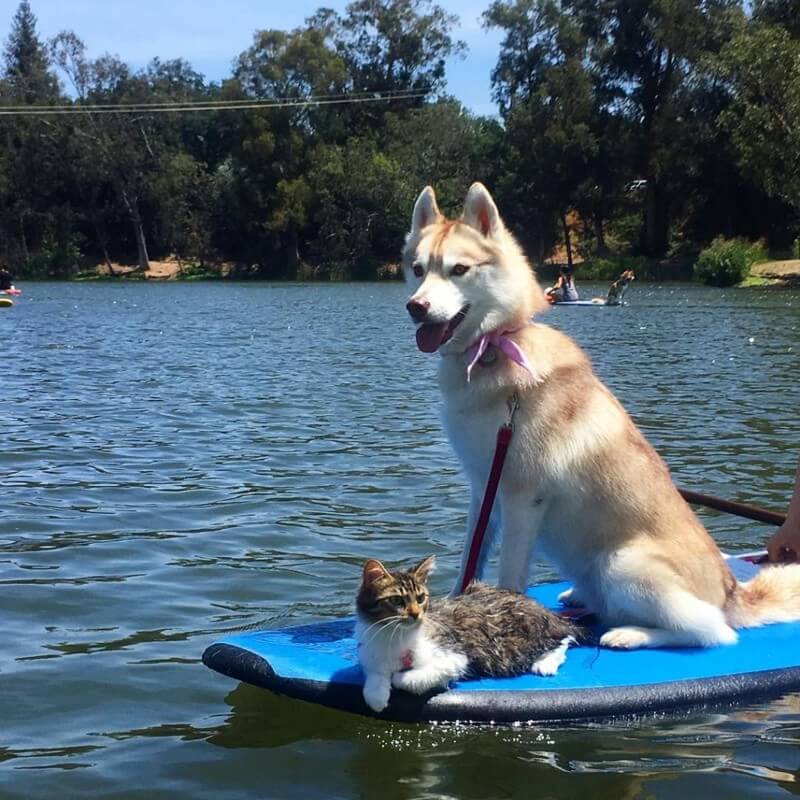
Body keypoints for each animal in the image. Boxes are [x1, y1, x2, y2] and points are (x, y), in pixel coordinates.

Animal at [356, 556, 580, 712]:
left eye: (420, 598)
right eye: (396, 601)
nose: (415, 614)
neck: (393, 636)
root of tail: (544, 610)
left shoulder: (454, 656)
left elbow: (410, 678)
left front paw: (399, 678)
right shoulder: (372, 655)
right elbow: (375, 675)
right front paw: (377, 697)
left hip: (521, 640)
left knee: (564, 637)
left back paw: (545, 663)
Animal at [404, 184, 800, 652]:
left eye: (459, 269)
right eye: (417, 269)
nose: (416, 306)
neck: (495, 349)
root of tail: (732, 591)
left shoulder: (522, 495)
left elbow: (509, 574)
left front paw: (508, 616)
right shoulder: (484, 489)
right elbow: (472, 555)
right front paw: (458, 602)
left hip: (622, 564)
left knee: (712, 632)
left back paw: (629, 634)